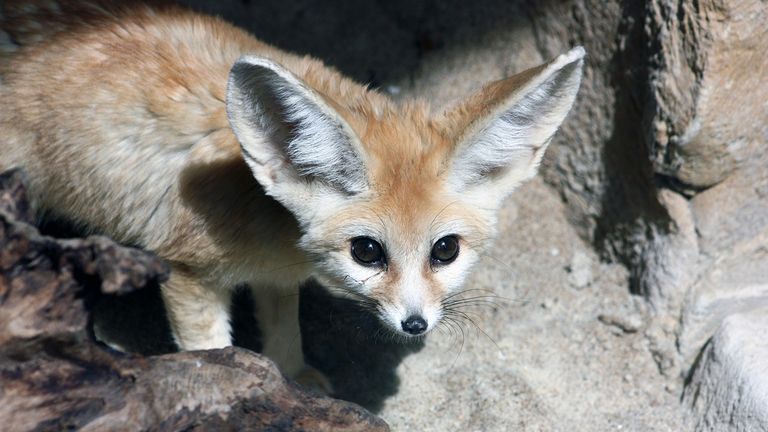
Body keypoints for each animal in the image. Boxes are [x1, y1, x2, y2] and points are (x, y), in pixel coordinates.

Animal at [0, 0, 584, 384]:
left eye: (446, 250)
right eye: (367, 251)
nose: (415, 324)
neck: (265, 212)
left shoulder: (276, 276)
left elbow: (285, 333)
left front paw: (295, 380)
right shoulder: (186, 272)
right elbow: (211, 352)